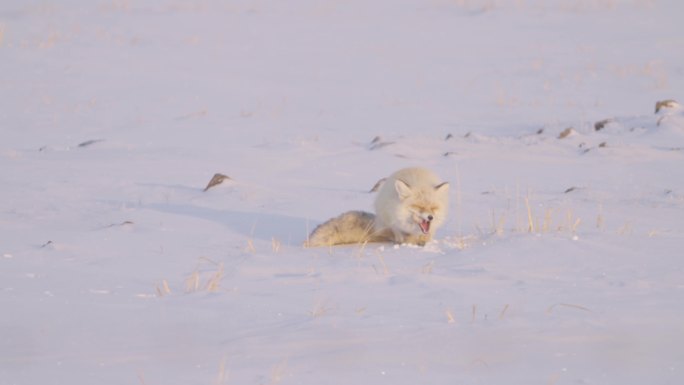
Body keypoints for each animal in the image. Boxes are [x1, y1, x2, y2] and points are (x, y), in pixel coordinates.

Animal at [306, 167, 448, 246]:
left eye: (433, 207)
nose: (430, 217)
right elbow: (400, 234)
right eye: (418, 206)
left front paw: (424, 241)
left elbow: (427, 235)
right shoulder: (393, 218)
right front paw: (407, 241)